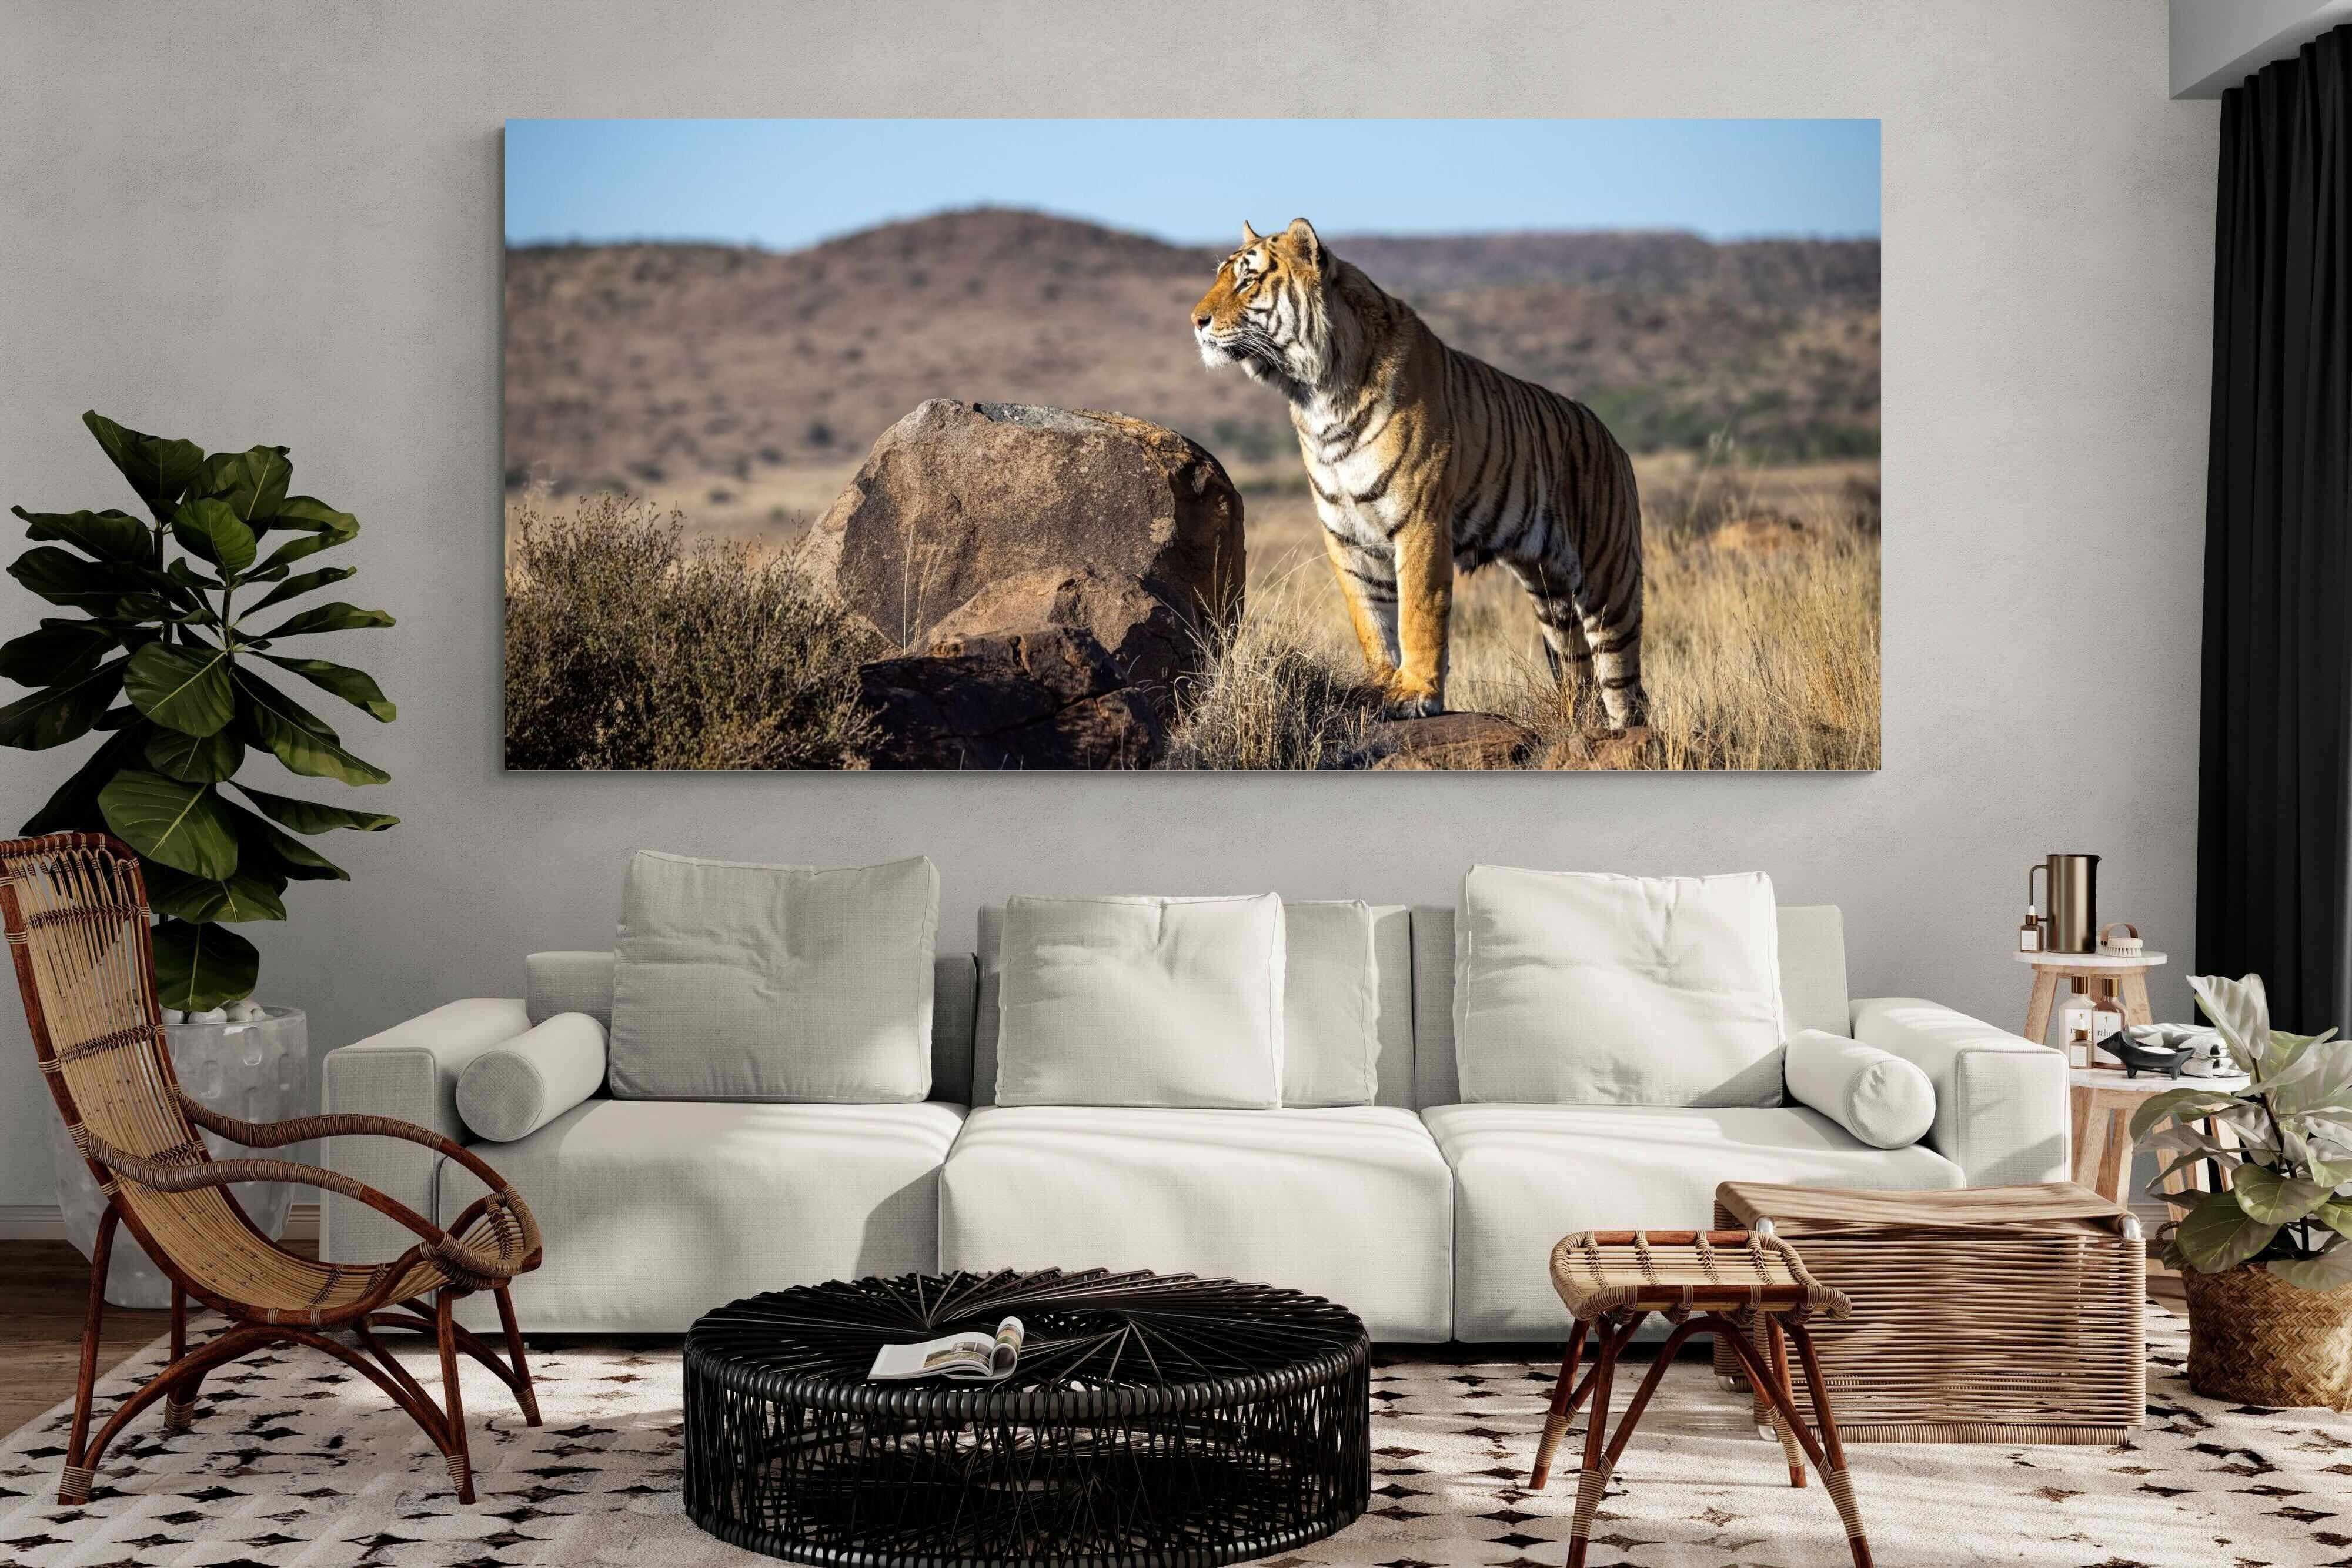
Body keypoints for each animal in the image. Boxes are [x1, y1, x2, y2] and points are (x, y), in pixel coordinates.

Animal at [1191, 217, 1647, 729]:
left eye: (1247, 281)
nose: (1196, 321)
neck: (1317, 395)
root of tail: (1613, 439)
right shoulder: (1346, 534)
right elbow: (1370, 619)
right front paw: (1379, 686)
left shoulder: (1420, 521)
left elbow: (1418, 612)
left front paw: (1416, 693)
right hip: (1551, 597)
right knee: (1579, 675)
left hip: (1608, 582)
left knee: (1626, 686)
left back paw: (1628, 734)